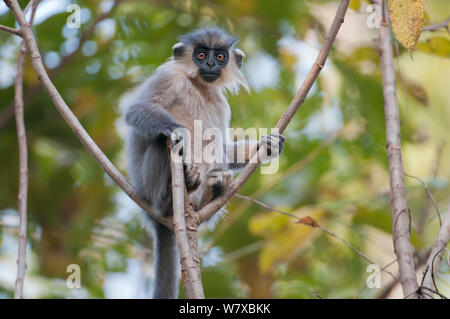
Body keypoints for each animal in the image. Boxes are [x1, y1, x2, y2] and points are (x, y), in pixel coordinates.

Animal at [120, 27, 284, 300]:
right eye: (200, 54)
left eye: (219, 56)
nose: (209, 64)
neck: (199, 85)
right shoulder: (169, 77)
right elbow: (137, 110)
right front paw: (177, 131)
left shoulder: (220, 103)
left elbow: (224, 147)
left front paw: (267, 145)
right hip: (149, 187)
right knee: (160, 143)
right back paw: (168, 198)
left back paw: (213, 189)